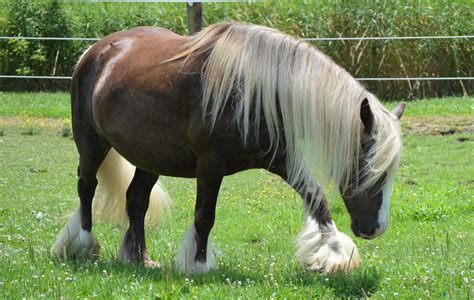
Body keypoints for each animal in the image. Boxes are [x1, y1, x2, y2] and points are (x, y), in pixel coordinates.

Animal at [52, 21, 408, 274]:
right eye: (369, 168)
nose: (376, 228)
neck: (256, 88)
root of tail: (95, 51)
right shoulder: (211, 164)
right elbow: (204, 216)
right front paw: (198, 264)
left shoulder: (282, 159)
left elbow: (317, 199)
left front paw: (335, 254)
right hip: (92, 144)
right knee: (86, 187)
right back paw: (82, 244)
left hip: (150, 156)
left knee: (136, 200)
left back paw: (140, 258)